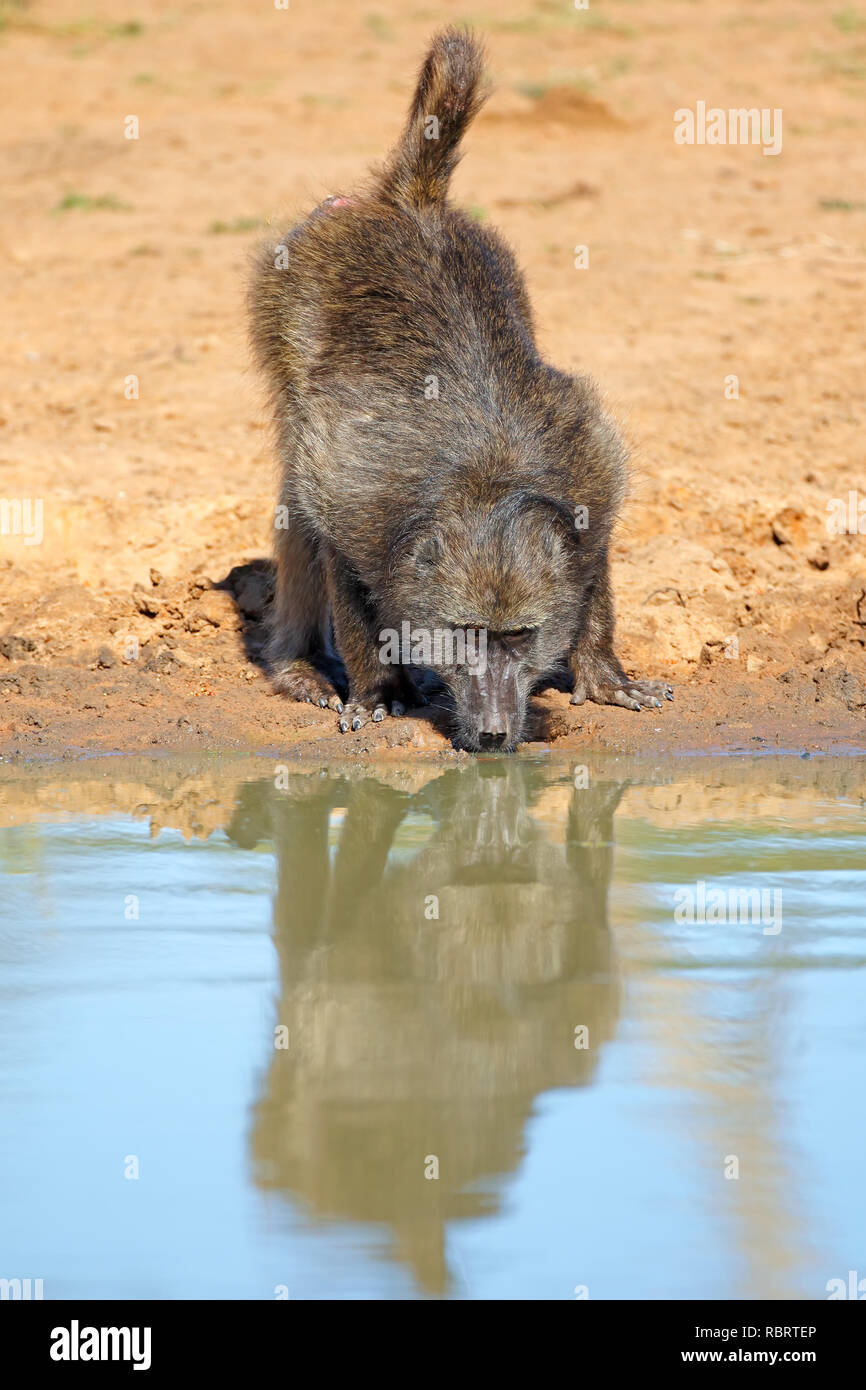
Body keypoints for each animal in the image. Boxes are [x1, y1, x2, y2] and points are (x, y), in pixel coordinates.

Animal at [249, 27, 673, 751]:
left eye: (518, 636)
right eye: (465, 635)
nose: (497, 733)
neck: (482, 483)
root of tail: (407, 203)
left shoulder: (592, 481)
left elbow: (592, 576)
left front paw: (605, 677)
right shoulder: (355, 498)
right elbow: (340, 565)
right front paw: (380, 691)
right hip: (286, 298)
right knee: (294, 502)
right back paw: (299, 667)